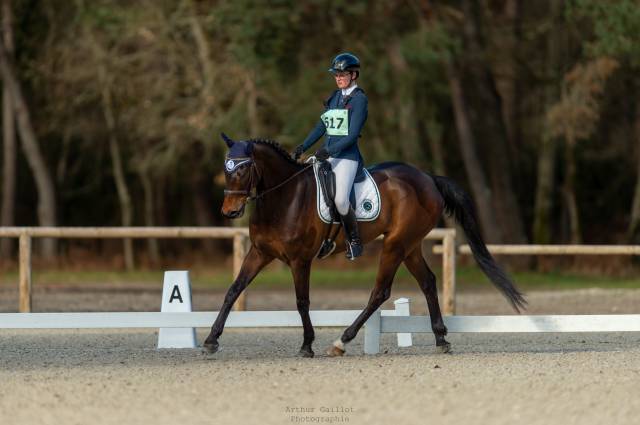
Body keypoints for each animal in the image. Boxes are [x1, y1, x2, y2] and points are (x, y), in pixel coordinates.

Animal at [204, 134, 526, 357]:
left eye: (243, 169)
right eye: (226, 168)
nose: (229, 212)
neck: (284, 197)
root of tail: (428, 178)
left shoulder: (300, 260)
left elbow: (302, 301)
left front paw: (307, 345)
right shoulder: (259, 253)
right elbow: (233, 290)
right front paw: (211, 340)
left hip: (395, 244)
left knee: (380, 292)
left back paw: (341, 341)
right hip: (409, 245)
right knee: (428, 282)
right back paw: (441, 338)